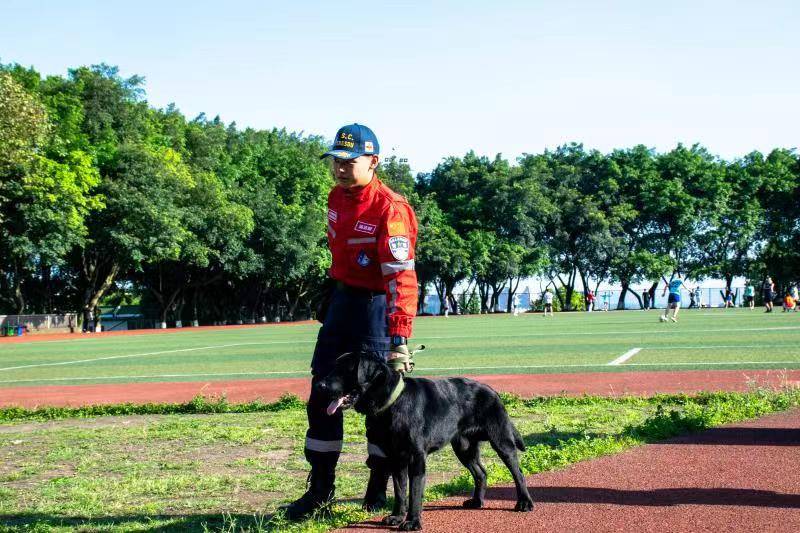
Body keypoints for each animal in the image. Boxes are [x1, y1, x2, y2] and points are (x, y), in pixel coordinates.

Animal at [316, 352, 536, 528]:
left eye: (344, 369)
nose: (320, 385)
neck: (391, 402)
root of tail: (492, 390)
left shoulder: (416, 458)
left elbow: (414, 492)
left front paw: (412, 522)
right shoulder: (396, 458)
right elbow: (399, 490)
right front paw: (397, 517)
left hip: (501, 440)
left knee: (518, 471)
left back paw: (524, 503)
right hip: (464, 448)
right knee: (481, 472)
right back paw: (476, 502)